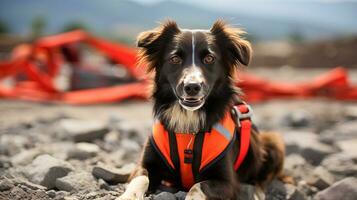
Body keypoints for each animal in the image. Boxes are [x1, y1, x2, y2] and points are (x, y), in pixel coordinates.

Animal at [118, 19, 286, 200]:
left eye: (209, 58)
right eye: (175, 59)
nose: (192, 87)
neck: (188, 121)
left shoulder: (227, 182)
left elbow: (198, 186)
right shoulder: (145, 164)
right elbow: (140, 178)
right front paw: (129, 195)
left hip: (273, 142)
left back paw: (257, 192)